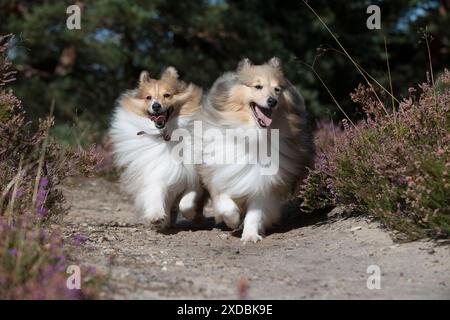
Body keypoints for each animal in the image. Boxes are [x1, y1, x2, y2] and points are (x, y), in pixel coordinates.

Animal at [110, 67, 204, 228]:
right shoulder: (156, 170)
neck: (164, 136)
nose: (156, 106)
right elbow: (155, 191)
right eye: (148, 97)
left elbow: (187, 200)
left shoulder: (193, 175)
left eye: (167, 95)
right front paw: (156, 216)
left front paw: (189, 213)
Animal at [199, 58, 314, 242]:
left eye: (277, 89)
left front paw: (250, 235)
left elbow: (255, 213)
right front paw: (233, 220)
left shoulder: (263, 183)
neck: (254, 134)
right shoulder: (219, 173)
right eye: (258, 86)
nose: (272, 101)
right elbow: (225, 203)